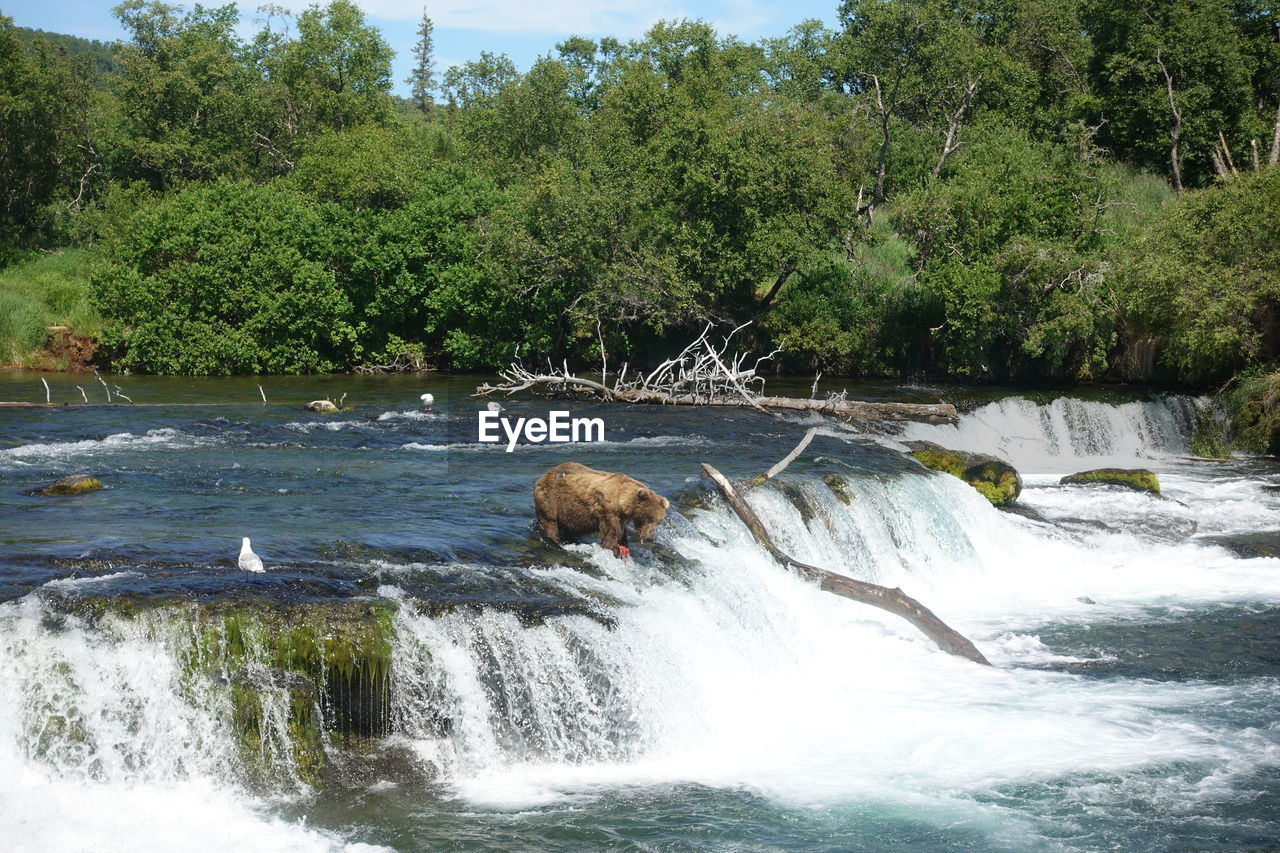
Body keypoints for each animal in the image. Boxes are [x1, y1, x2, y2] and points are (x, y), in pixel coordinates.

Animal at [532, 461, 670, 555]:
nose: (650, 538)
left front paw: (624, 546)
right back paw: (556, 541)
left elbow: (621, 534)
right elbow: (611, 535)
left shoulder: (620, 517)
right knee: (550, 522)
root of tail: (544, 475)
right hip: (552, 499)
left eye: (659, 521)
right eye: (649, 518)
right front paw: (613, 550)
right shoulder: (608, 512)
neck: (622, 502)